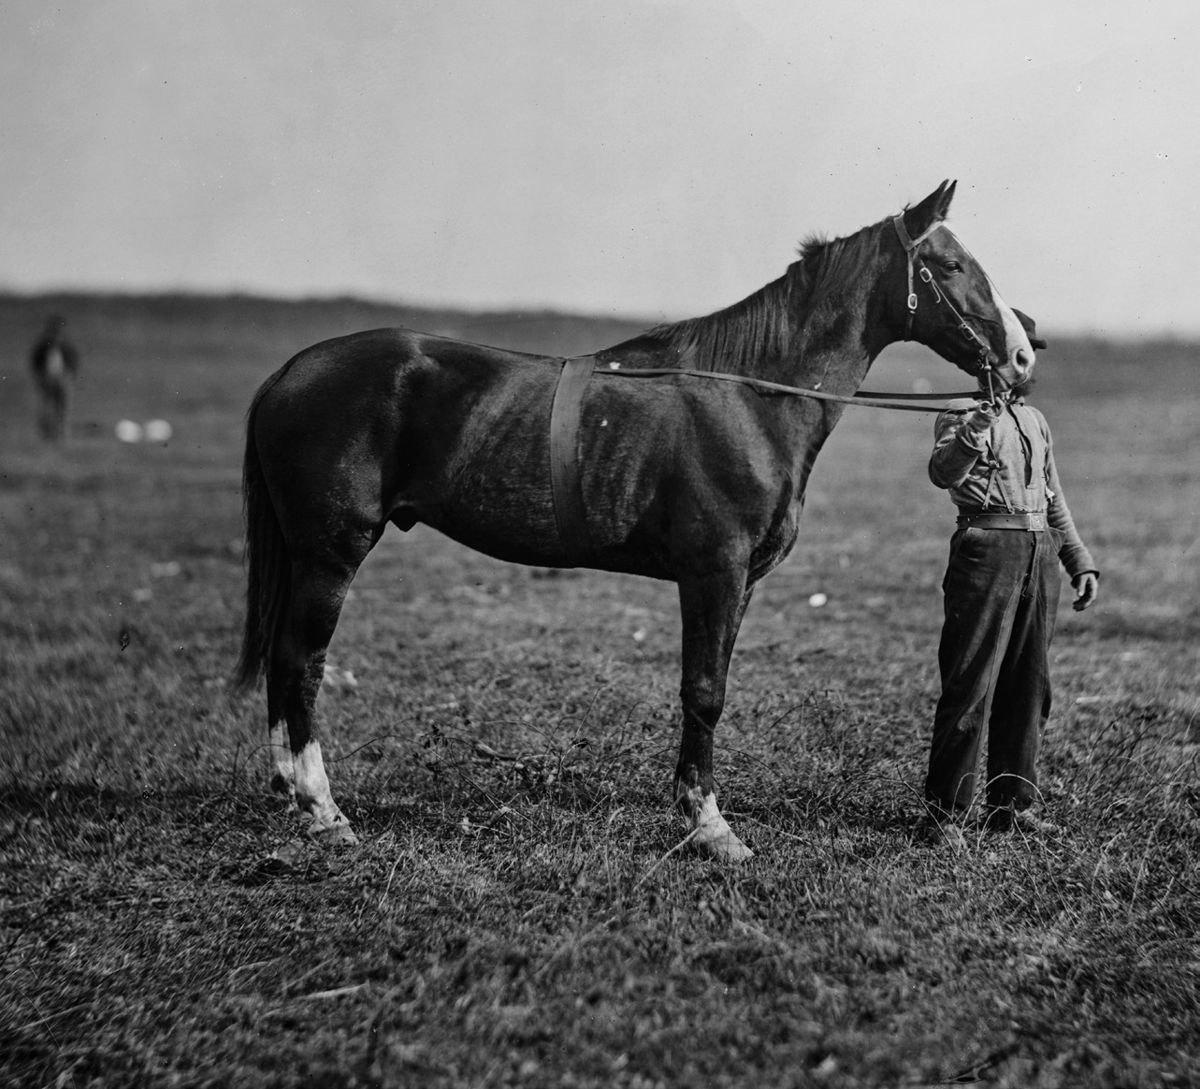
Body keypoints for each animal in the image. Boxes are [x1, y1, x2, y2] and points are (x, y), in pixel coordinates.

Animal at [234, 180, 1035, 861]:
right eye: (951, 264)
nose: (1025, 352)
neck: (752, 397)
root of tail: (288, 374)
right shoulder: (714, 572)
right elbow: (704, 691)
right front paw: (710, 827)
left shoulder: (739, 584)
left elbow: (710, 688)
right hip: (331, 555)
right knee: (300, 661)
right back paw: (323, 809)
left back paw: (291, 794)